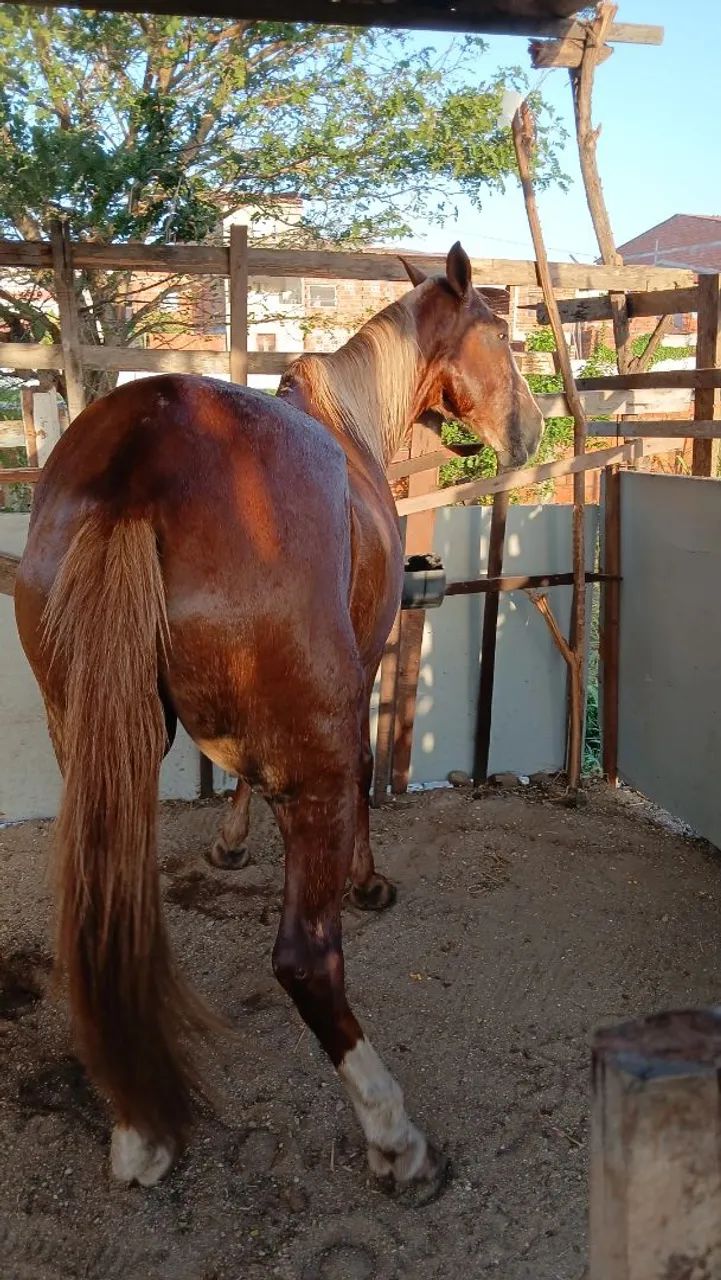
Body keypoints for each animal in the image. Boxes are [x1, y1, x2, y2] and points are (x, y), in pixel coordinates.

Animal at [14, 241, 543, 1195]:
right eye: (498, 333)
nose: (531, 432)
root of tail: (137, 461)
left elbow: (240, 780)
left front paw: (229, 841)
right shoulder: (361, 673)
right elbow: (366, 776)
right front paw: (368, 878)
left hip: (93, 743)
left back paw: (137, 1127)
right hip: (312, 757)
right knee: (306, 959)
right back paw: (394, 1136)